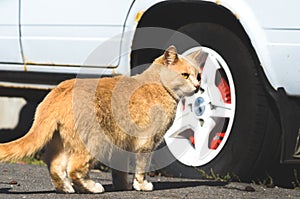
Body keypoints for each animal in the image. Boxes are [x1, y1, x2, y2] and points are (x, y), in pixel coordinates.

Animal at [0, 45, 204, 193]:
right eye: (185, 75)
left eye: (199, 76)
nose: (197, 86)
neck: (157, 85)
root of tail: (56, 92)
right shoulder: (146, 142)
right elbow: (141, 168)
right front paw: (142, 185)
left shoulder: (123, 143)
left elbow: (120, 170)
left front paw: (123, 186)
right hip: (95, 141)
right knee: (75, 168)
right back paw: (92, 188)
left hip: (63, 141)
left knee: (54, 164)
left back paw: (66, 189)